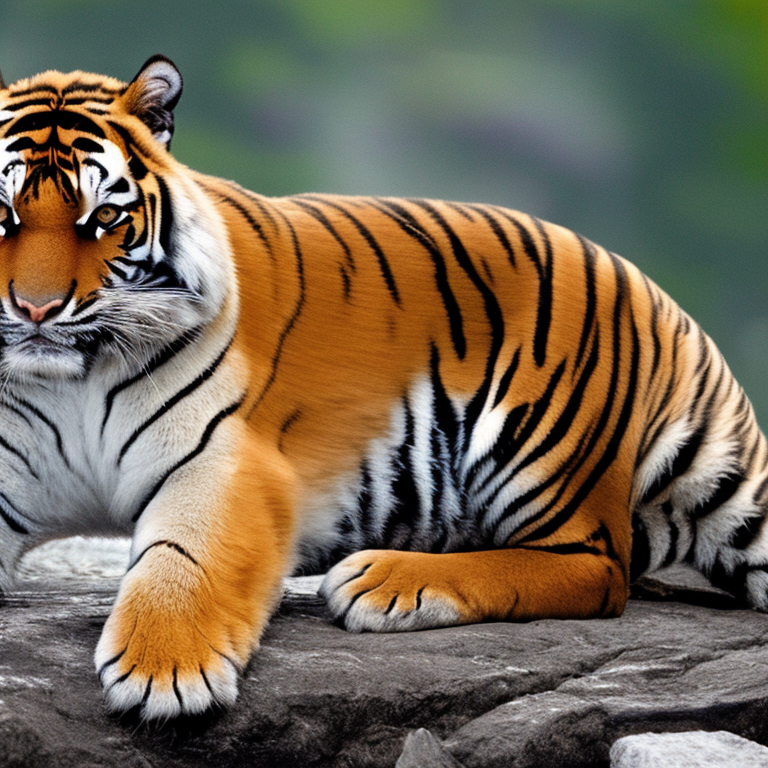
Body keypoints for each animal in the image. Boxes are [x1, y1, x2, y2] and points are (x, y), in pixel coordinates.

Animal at [0, 55, 766, 722]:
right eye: (4, 216)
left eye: (102, 218)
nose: (36, 310)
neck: (71, 379)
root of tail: (665, 305)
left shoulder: (224, 463)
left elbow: (182, 557)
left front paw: (163, 674)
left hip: (537, 441)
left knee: (599, 567)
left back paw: (385, 581)